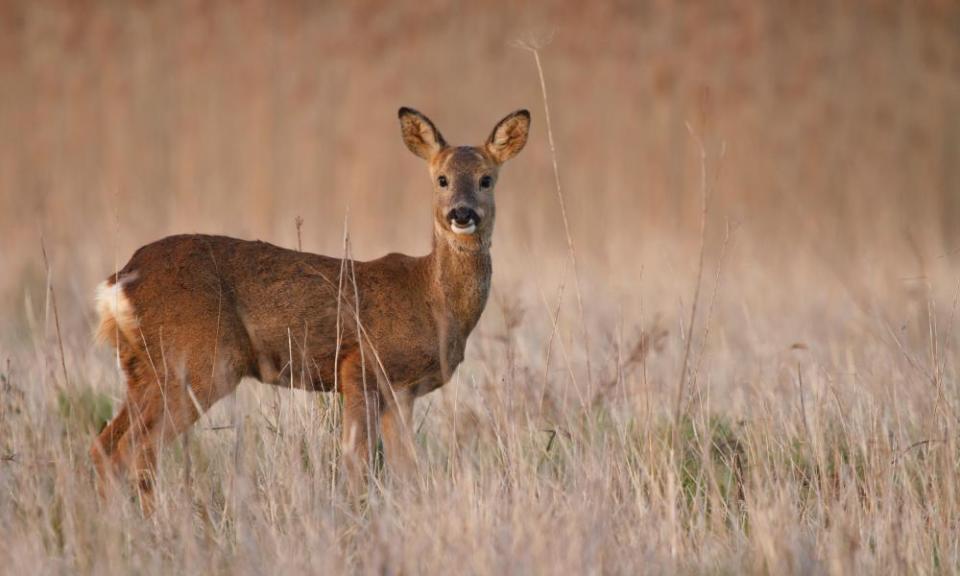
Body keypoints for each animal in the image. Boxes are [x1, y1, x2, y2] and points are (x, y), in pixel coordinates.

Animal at [90, 106, 532, 510]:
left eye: (486, 179)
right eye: (442, 179)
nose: (462, 213)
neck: (432, 299)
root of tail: (118, 283)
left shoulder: (403, 391)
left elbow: (407, 469)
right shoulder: (360, 366)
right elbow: (358, 460)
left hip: (143, 368)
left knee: (106, 444)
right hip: (202, 359)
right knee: (136, 448)